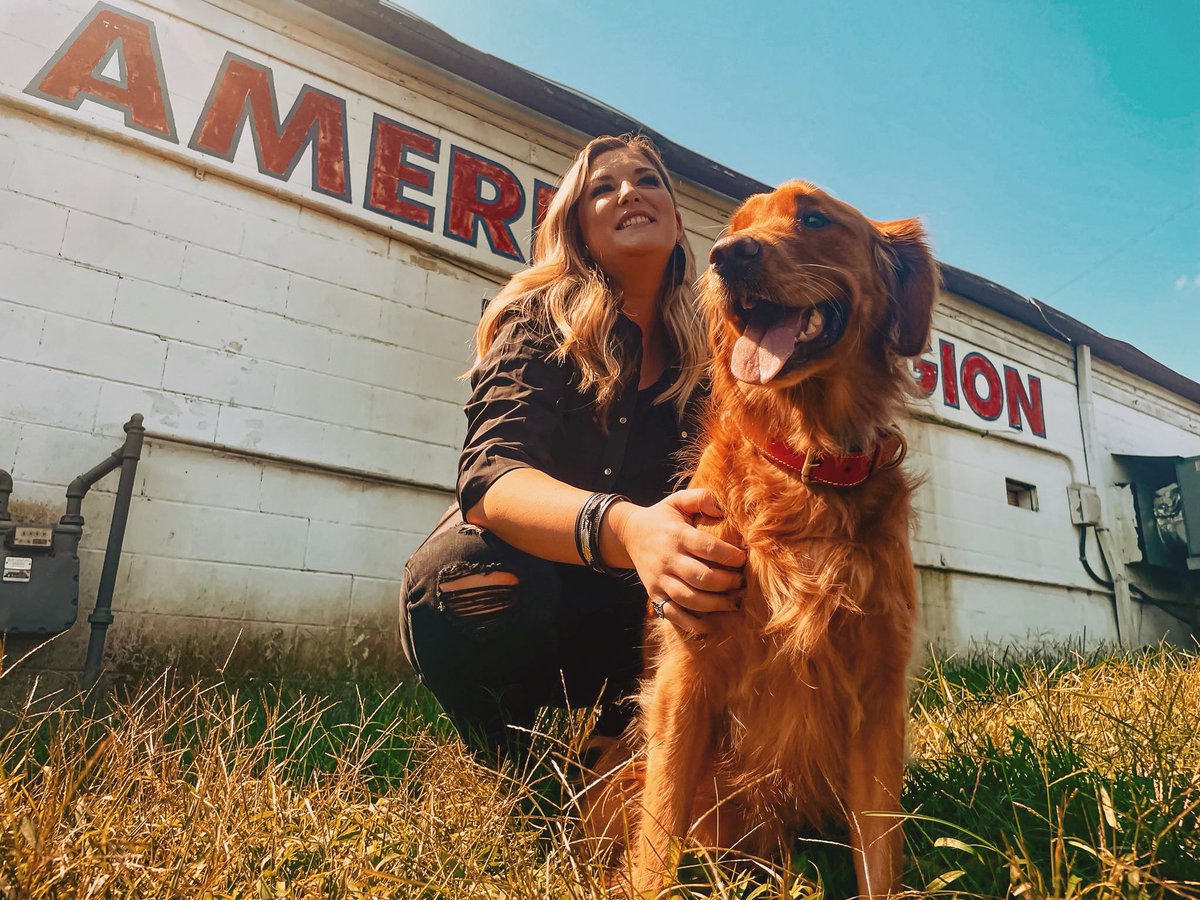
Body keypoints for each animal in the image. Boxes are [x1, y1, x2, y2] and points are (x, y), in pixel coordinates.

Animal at [628, 180, 936, 897]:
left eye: (815, 217)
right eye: (731, 228)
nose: (727, 257)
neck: (805, 464)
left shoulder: (879, 690)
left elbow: (879, 853)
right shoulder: (687, 671)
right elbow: (658, 840)